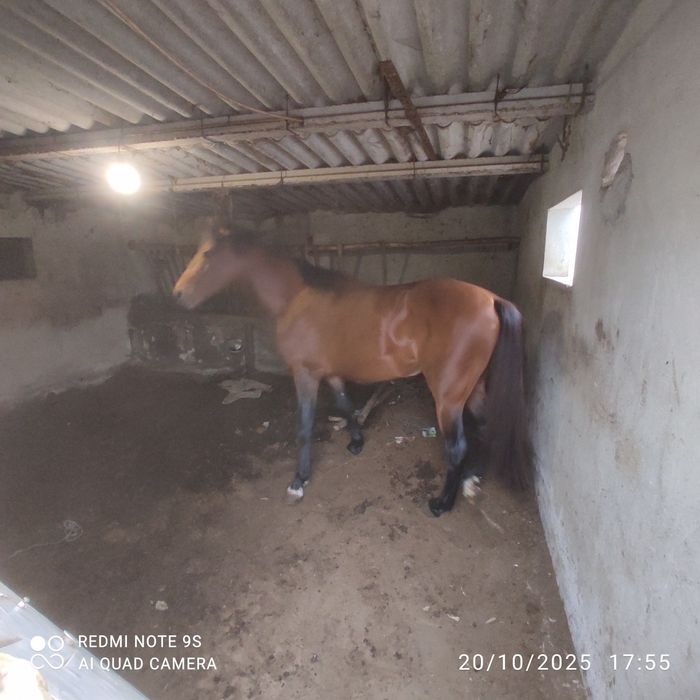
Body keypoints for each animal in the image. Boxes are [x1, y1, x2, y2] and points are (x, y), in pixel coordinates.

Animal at [173, 226, 529, 516]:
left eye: (208, 254)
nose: (177, 295)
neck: (297, 297)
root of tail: (491, 299)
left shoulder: (305, 374)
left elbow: (304, 427)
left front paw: (298, 481)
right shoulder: (330, 373)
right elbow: (347, 406)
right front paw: (356, 442)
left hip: (448, 397)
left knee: (457, 448)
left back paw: (442, 503)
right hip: (474, 387)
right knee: (485, 426)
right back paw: (472, 479)